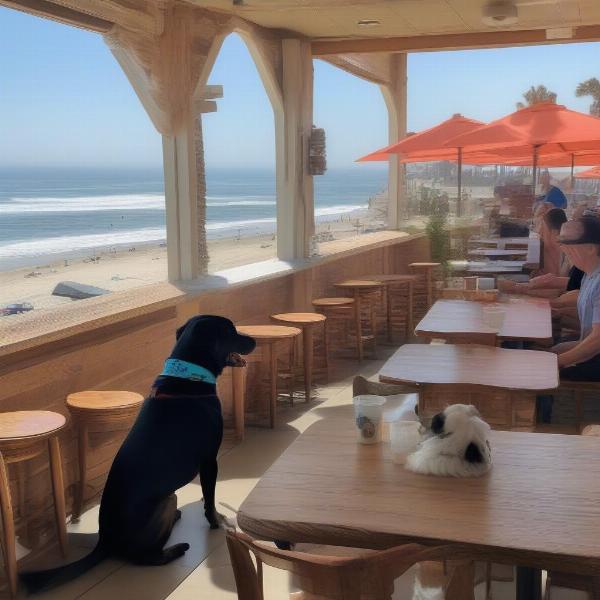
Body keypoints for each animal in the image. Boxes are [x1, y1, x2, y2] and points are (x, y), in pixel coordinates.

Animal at [21, 316, 253, 592]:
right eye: (231, 331)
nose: (254, 339)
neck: (190, 375)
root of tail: (105, 541)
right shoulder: (209, 461)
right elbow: (209, 499)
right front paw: (216, 520)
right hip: (166, 500)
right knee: (145, 558)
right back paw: (176, 548)